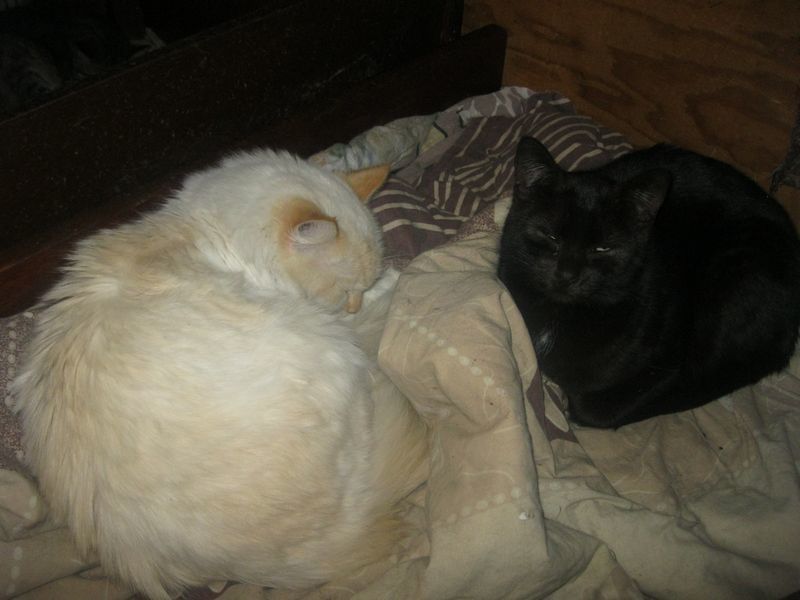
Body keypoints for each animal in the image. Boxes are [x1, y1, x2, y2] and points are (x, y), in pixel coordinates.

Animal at [498, 136, 800, 429]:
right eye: (549, 236)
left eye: (602, 249)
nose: (567, 275)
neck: (561, 313)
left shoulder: (668, 364)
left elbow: (596, 407)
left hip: (733, 276)